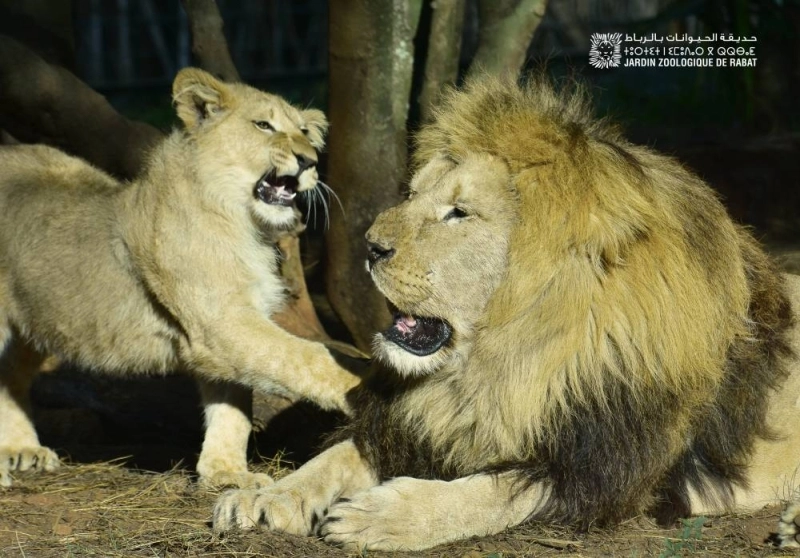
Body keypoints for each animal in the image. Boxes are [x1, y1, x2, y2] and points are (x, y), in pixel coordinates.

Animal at [0, 67, 361, 489]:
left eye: (304, 131)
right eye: (263, 125)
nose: (310, 160)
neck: (243, 223)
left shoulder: (223, 330)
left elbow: (233, 406)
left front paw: (226, 472)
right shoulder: (220, 321)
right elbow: (306, 357)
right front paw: (364, 385)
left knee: (10, 377)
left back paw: (22, 450)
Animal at [212, 75, 800, 551]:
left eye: (458, 213)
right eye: (414, 196)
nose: (370, 246)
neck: (496, 366)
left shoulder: (605, 473)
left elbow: (489, 493)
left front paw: (384, 517)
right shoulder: (413, 423)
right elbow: (334, 458)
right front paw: (268, 495)